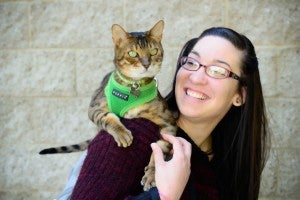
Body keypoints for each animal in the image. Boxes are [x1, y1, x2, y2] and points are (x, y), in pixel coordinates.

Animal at [39, 20, 177, 191]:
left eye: (153, 51)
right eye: (133, 54)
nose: (146, 64)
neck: (133, 87)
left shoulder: (168, 121)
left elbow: (162, 147)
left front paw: (153, 173)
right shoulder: (94, 107)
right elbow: (106, 117)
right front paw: (122, 133)